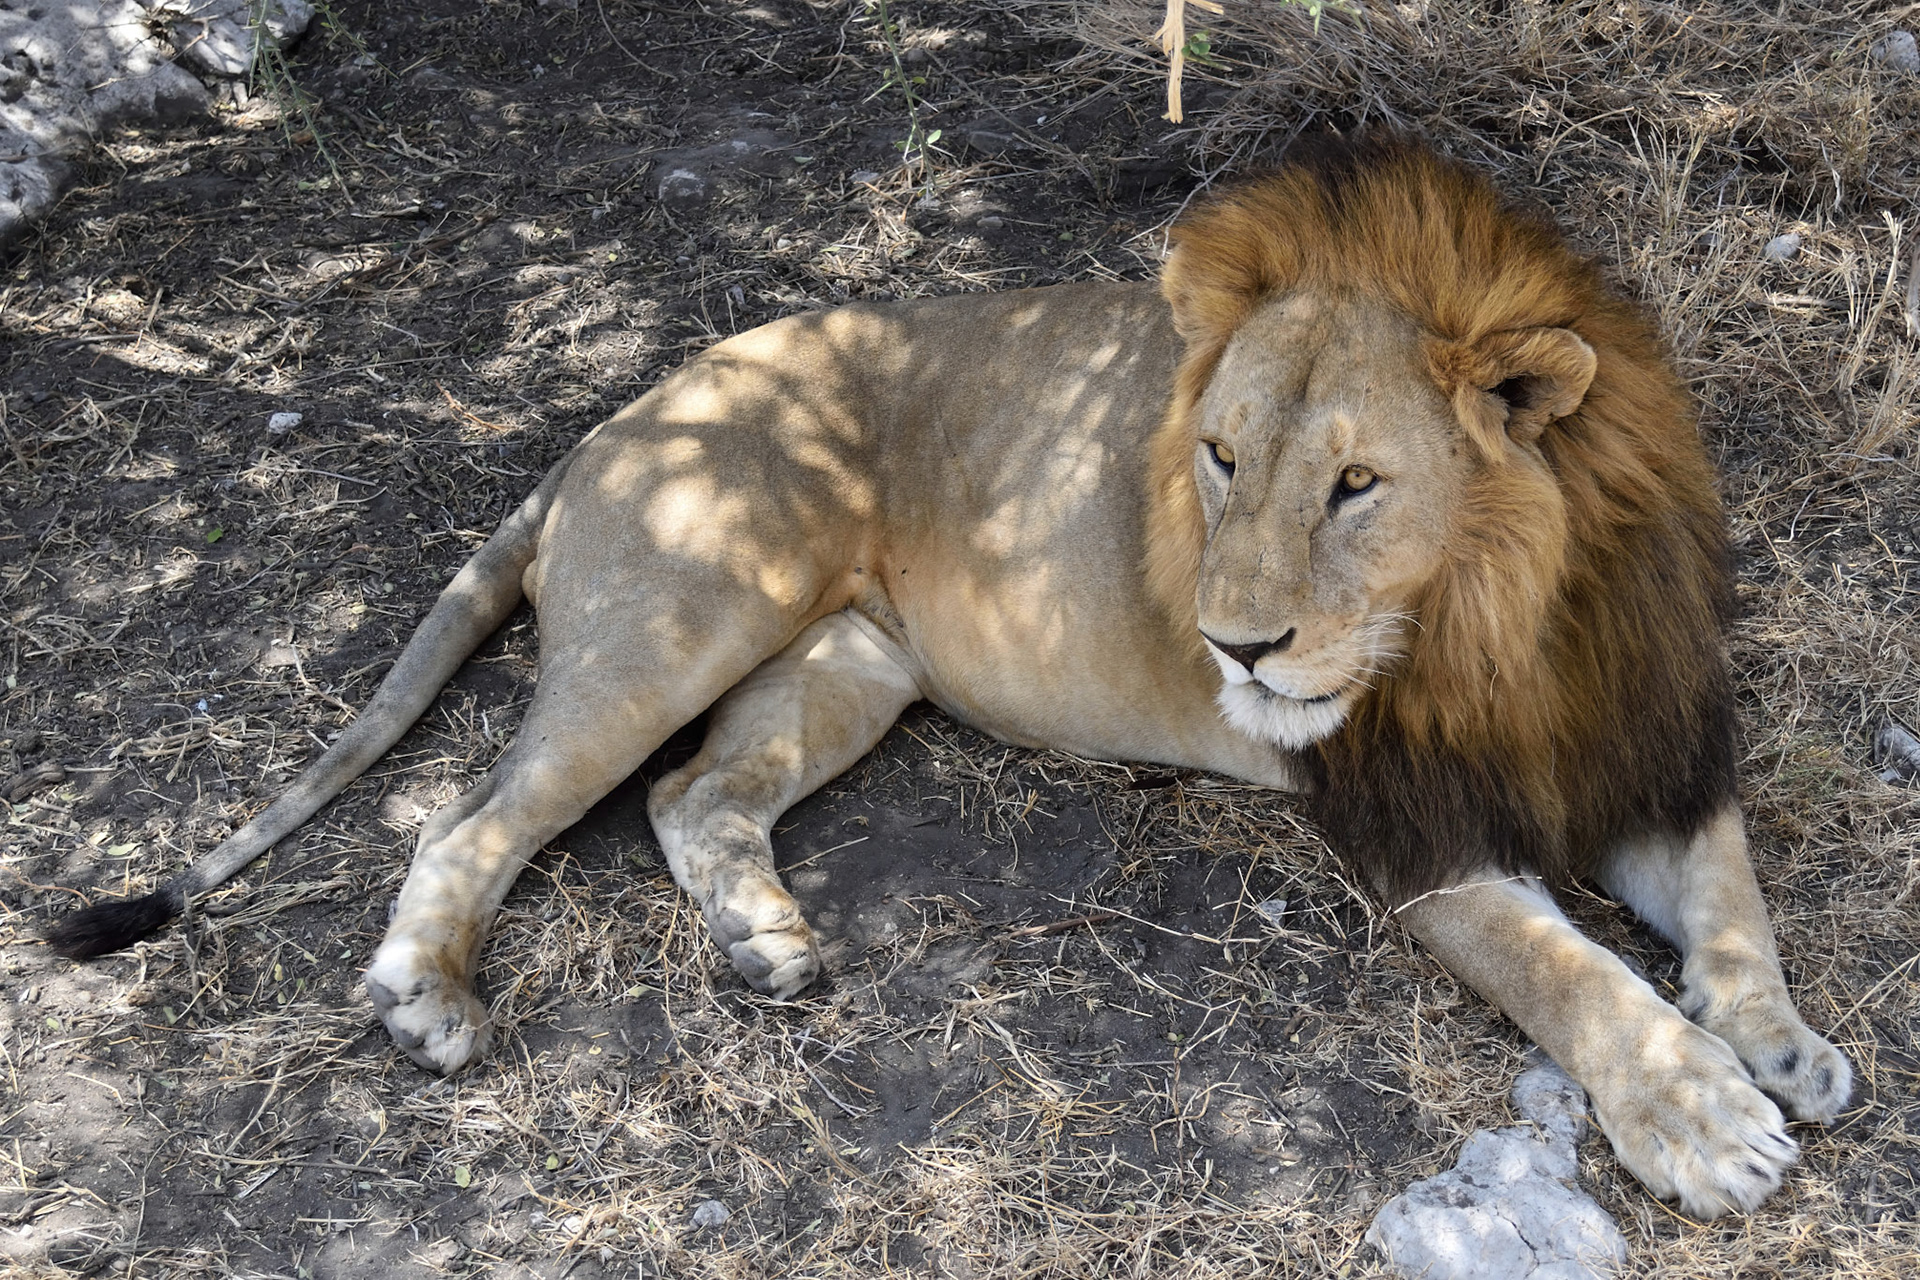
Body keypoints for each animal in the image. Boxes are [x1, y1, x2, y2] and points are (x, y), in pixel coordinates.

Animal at [49, 136, 1848, 1218]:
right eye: (1218, 460)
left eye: (1356, 486)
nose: (1231, 647)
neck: (1495, 623)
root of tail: (611, 422)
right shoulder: (1404, 825)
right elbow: (1574, 975)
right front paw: (1703, 1119)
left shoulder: (1645, 738)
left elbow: (1732, 896)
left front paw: (1782, 1045)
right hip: (690, 612)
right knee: (470, 816)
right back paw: (426, 992)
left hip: (846, 663)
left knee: (701, 792)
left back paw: (767, 944)